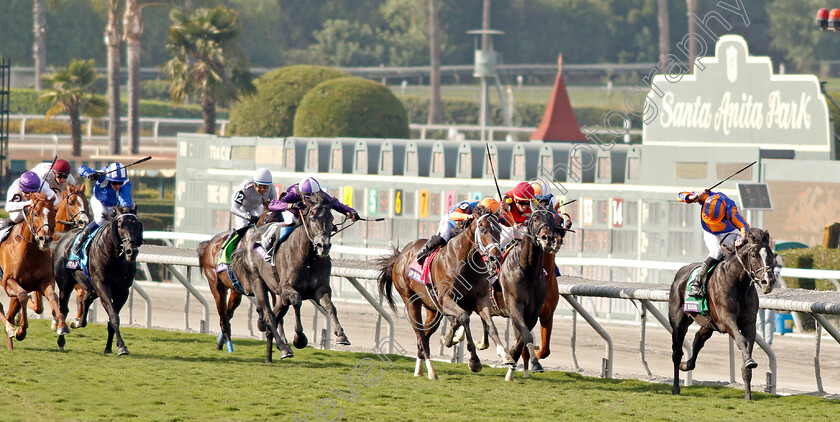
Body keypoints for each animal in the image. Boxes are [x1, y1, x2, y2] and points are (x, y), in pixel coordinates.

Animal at [0, 193, 69, 348]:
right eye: (36, 213)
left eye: (54, 213)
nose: (46, 239)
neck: (30, 251)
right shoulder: (8, 280)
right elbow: (23, 296)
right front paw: (21, 331)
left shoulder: (45, 280)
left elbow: (52, 296)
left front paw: (62, 325)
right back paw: (11, 327)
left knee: (10, 312)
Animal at [52, 206, 142, 354]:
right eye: (120, 225)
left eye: (137, 225)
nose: (131, 251)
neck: (115, 258)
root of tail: (64, 237)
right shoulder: (102, 286)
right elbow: (114, 316)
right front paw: (122, 347)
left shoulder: (123, 291)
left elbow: (112, 318)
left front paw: (109, 347)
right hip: (65, 284)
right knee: (64, 309)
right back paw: (61, 338)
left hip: (91, 287)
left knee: (85, 300)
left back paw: (78, 322)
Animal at [378, 206, 516, 380]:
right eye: (483, 229)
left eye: (499, 230)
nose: (496, 256)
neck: (465, 262)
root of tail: (400, 256)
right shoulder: (445, 299)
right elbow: (463, 318)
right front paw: (474, 361)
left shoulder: (480, 300)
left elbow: (490, 324)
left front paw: (505, 355)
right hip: (410, 302)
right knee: (421, 337)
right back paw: (432, 371)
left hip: (432, 310)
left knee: (424, 336)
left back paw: (419, 370)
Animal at [668, 229, 776, 400]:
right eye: (753, 255)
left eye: (771, 255)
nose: (768, 282)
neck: (737, 282)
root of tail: (681, 272)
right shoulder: (727, 320)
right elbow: (741, 341)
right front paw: (749, 362)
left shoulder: (749, 324)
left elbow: (747, 347)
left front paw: (748, 395)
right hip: (678, 322)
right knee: (677, 353)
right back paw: (676, 387)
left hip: (708, 323)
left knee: (698, 340)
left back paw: (686, 365)